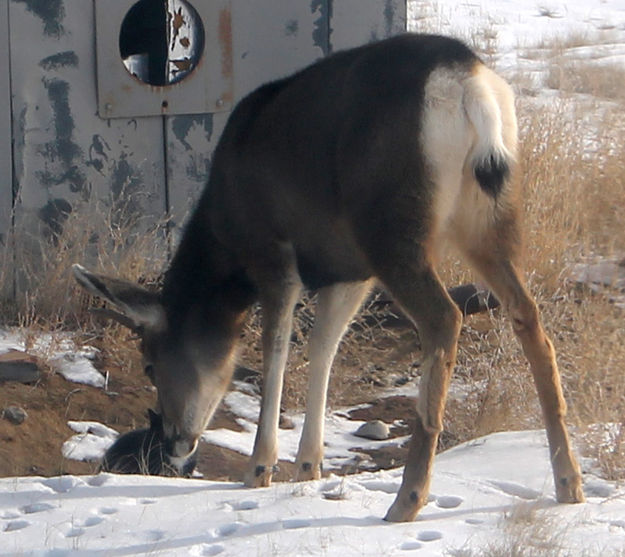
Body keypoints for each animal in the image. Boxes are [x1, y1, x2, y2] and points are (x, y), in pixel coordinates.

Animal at [74, 34, 584, 520]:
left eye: (149, 363)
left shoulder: (274, 252)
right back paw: (568, 483)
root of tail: (468, 84)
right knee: (528, 315)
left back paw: (408, 499)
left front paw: (259, 468)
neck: (225, 238)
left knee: (445, 317)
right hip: (489, 218)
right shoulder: (349, 271)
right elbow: (323, 349)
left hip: (392, 226)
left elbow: (276, 350)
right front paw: (308, 466)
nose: (175, 441)